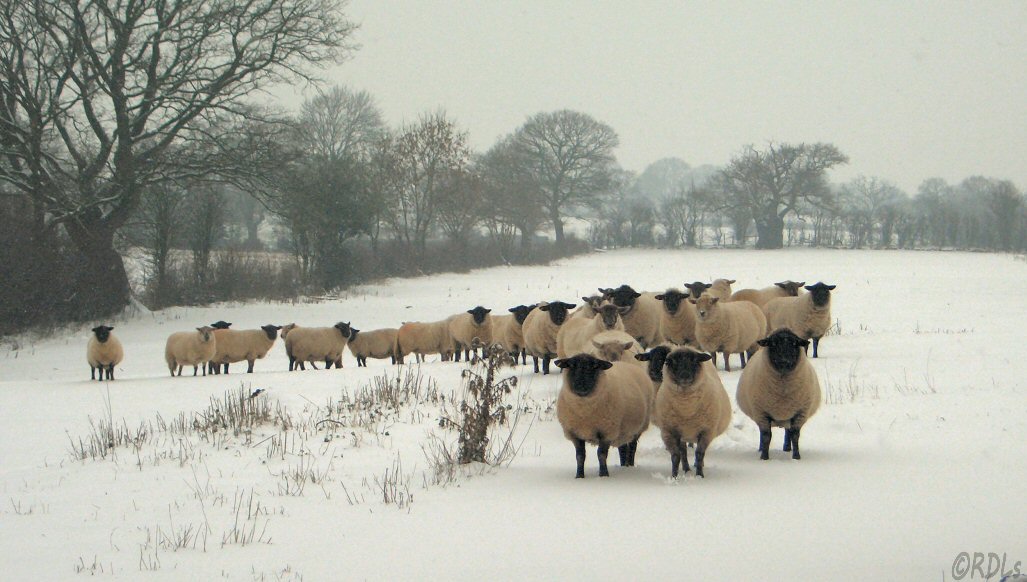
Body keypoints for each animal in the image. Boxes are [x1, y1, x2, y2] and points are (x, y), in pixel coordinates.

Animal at [653, 346, 735, 478]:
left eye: (694, 361)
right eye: (672, 362)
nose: (685, 375)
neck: (686, 407)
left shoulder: (706, 431)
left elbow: (699, 454)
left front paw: (699, 475)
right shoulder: (669, 432)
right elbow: (676, 456)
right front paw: (674, 476)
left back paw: (696, 466)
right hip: (682, 434)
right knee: (683, 452)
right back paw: (686, 469)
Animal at [735, 330, 821, 461]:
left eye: (794, 343)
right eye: (773, 343)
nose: (784, 361)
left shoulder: (800, 413)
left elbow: (795, 435)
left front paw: (796, 457)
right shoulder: (762, 413)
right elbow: (766, 436)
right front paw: (764, 457)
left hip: (788, 415)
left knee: (788, 432)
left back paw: (787, 448)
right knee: (764, 434)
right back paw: (761, 449)